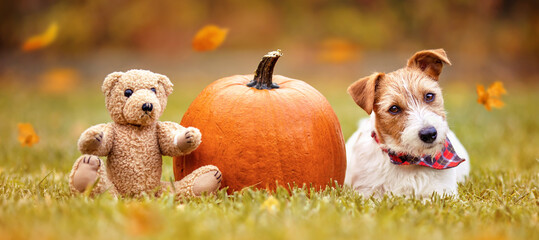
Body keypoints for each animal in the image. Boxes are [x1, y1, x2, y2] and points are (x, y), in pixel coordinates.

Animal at [346, 48, 468, 197]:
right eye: (394, 108)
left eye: (429, 96)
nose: (429, 134)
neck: (408, 160)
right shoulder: (367, 192)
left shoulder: (442, 192)